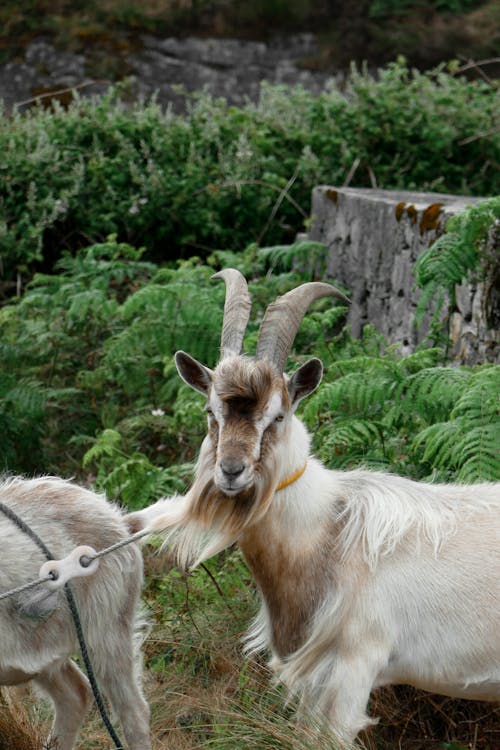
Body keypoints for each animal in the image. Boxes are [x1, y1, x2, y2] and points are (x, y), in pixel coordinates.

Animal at [126, 270, 500, 748]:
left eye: (278, 416)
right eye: (211, 411)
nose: (231, 471)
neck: (330, 534)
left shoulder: (354, 668)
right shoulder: (316, 682)